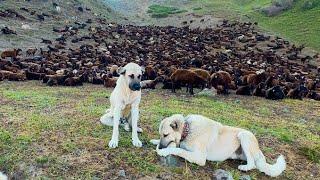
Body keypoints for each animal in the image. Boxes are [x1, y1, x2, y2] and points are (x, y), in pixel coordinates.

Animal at [151, 114, 286, 176]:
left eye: (166, 135)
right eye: (161, 135)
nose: (161, 147)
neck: (188, 130)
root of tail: (259, 150)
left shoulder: (199, 158)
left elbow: (179, 150)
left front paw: (163, 151)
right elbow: (176, 147)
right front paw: (155, 141)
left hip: (244, 135)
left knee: (253, 164)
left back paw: (245, 167)